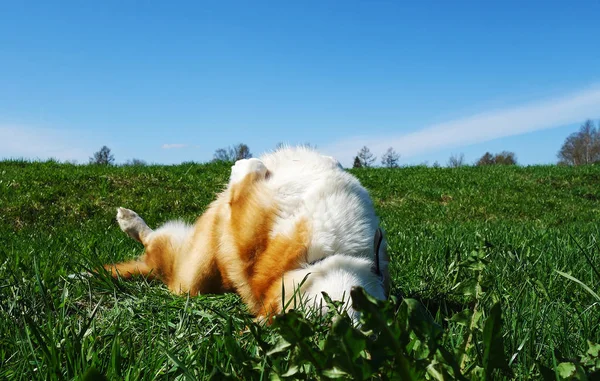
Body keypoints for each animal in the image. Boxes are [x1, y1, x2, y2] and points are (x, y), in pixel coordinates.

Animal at [105, 145, 392, 320]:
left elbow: (247, 173)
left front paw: (242, 166)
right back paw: (131, 220)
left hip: (188, 275)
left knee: (156, 249)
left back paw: (129, 223)